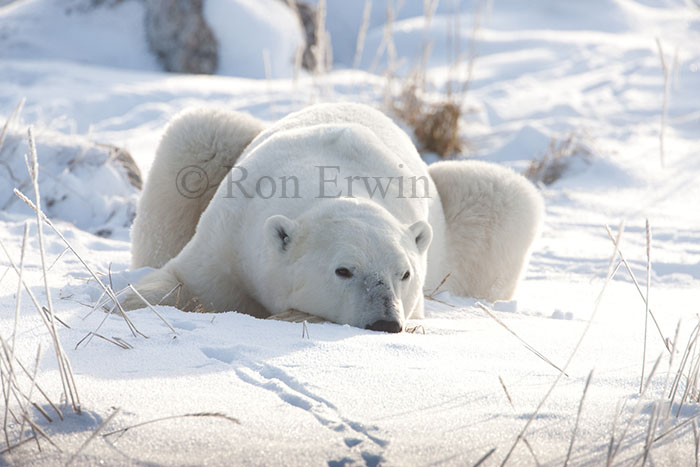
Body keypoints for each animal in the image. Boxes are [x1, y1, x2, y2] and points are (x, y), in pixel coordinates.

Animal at [123, 103, 543, 332]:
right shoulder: (230, 237)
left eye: (404, 274)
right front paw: (123, 303)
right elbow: (182, 282)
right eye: (344, 270)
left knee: (504, 195)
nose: (385, 323)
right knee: (198, 132)